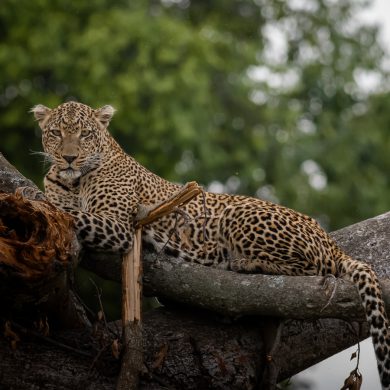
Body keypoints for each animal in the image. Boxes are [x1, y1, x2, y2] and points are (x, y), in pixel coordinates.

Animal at [32, 102, 390, 388]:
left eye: (85, 134)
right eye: (55, 133)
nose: (69, 157)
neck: (73, 181)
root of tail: (331, 240)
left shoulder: (120, 226)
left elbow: (71, 214)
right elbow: (60, 207)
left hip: (241, 216)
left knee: (312, 272)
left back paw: (241, 263)